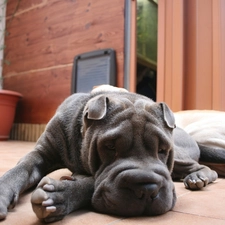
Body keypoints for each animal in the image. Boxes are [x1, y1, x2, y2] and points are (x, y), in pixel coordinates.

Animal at [0, 85, 225, 222]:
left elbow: (91, 183)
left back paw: (198, 177)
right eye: (109, 146)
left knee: (203, 167)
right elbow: (19, 171)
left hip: (179, 156)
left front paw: (60, 194)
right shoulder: (41, 153)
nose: (147, 189)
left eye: (162, 149)